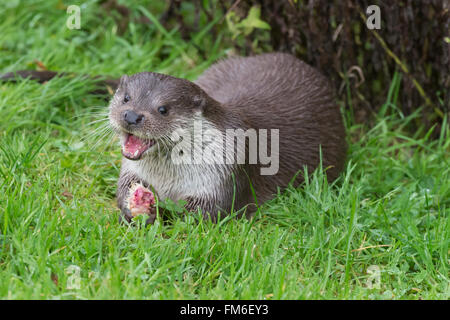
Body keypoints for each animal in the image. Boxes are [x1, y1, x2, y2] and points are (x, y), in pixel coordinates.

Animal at [109, 53, 348, 222]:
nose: (131, 116)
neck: (168, 179)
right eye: (126, 98)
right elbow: (122, 189)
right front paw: (134, 208)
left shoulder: (223, 173)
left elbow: (202, 214)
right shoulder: (132, 170)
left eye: (163, 109)